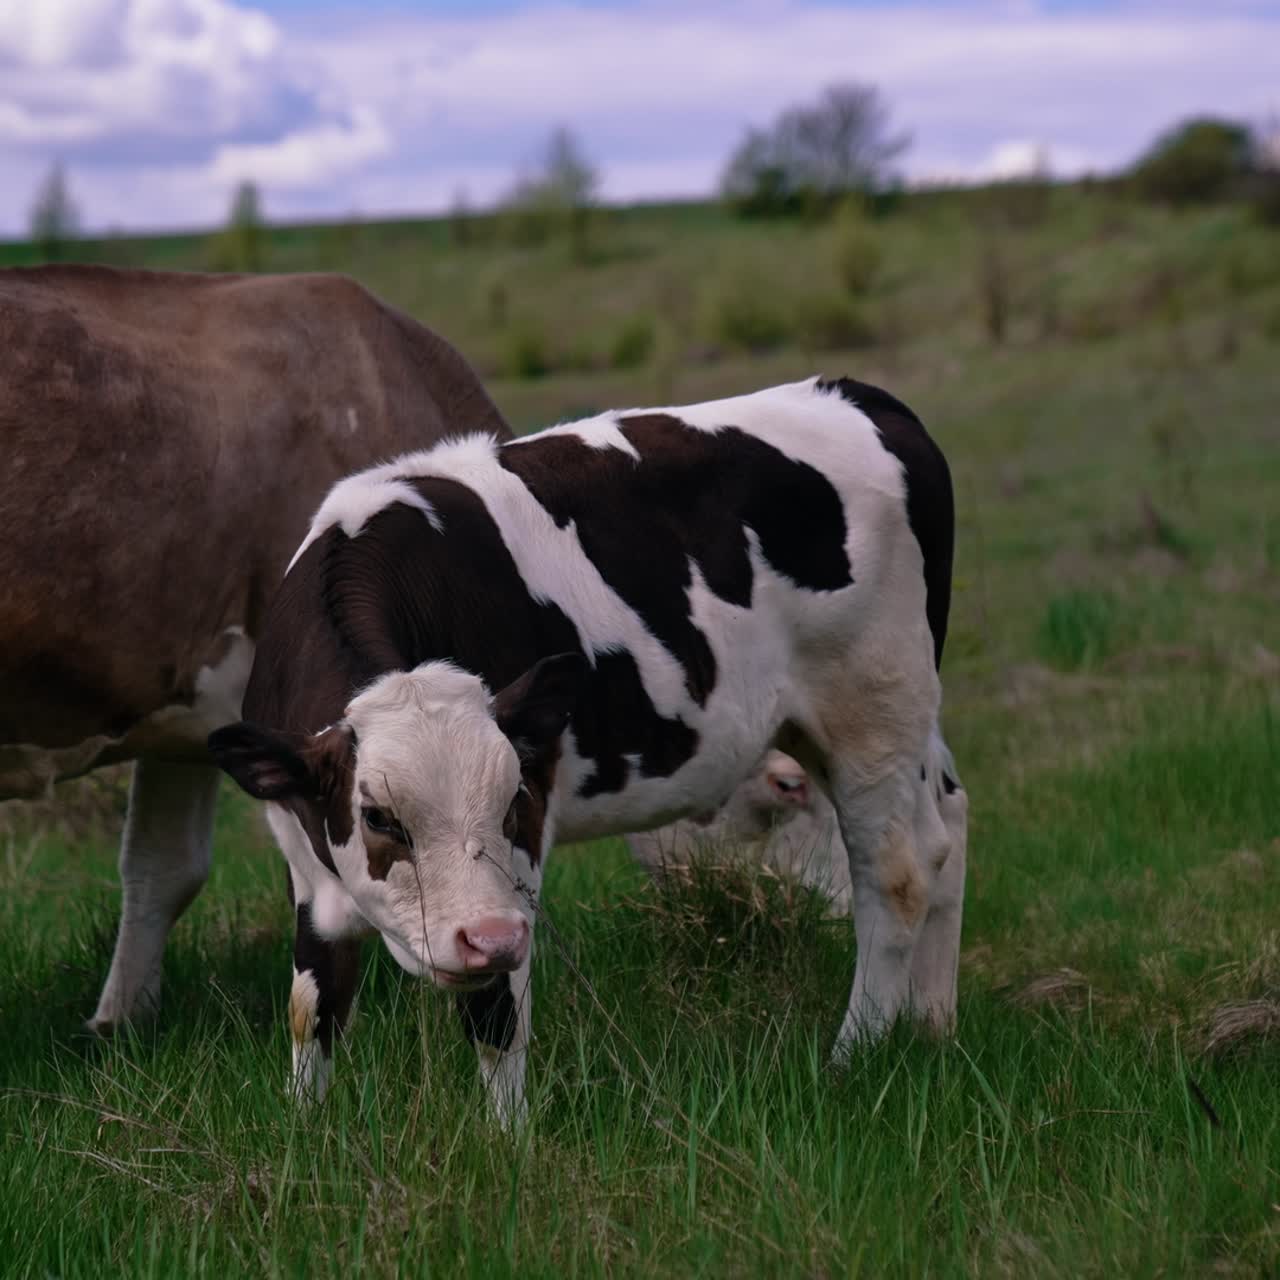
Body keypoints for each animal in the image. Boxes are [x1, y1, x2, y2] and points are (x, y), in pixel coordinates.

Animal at [209, 376, 965, 1126]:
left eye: (512, 799)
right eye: (378, 816)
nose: (485, 936)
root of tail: (855, 394)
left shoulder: (519, 866)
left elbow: (496, 1017)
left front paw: (506, 1140)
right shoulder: (307, 861)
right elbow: (314, 1005)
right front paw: (305, 1125)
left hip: (874, 706)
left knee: (896, 874)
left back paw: (852, 1057)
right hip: (886, 716)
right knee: (945, 831)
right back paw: (933, 1025)